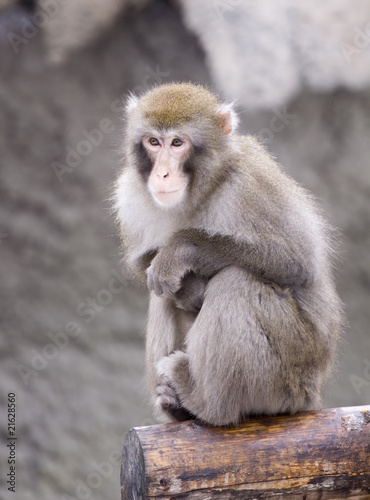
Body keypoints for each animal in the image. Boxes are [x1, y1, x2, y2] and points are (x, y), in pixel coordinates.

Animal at [114, 82, 342, 426]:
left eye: (177, 143)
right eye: (153, 142)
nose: (162, 174)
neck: (199, 192)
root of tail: (311, 397)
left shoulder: (250, 184)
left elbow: (297, 260)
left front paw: (181, 249)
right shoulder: (128, 197)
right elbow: (144, 265)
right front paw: (189, 288)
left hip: (291, 374)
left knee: (236, 282)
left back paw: (206, 402)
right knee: (162, 293)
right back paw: (174, 405)